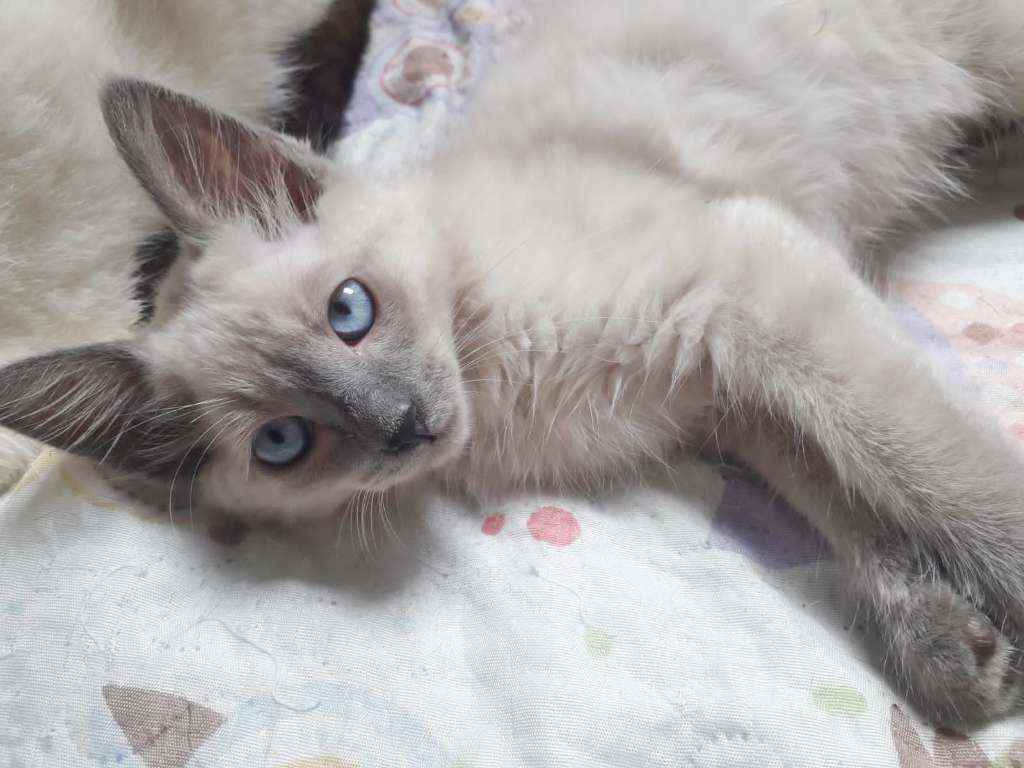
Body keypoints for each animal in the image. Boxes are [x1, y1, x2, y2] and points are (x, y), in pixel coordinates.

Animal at [3, 0, 1024, 728]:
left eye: (349, 312)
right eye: (284, 443)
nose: (401, 424)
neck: (493, 380)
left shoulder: (744, 286)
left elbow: (939, 472)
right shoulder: (729, 393)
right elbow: (850, 495)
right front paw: (947, 642)